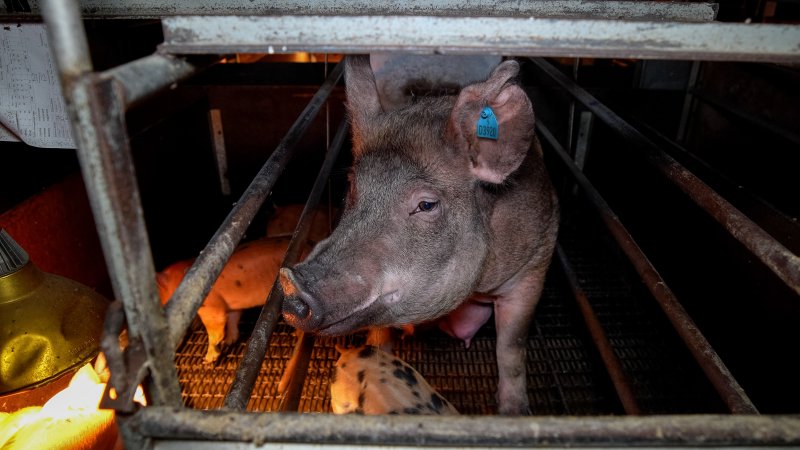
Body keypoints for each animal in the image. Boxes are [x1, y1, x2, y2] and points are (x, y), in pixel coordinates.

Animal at [280, 57, 556, 414]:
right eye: (353, 186)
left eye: (426, 204)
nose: (291, 284)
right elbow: (379, 340)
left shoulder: (537, 257)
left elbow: (511, 345)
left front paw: (514, 413)